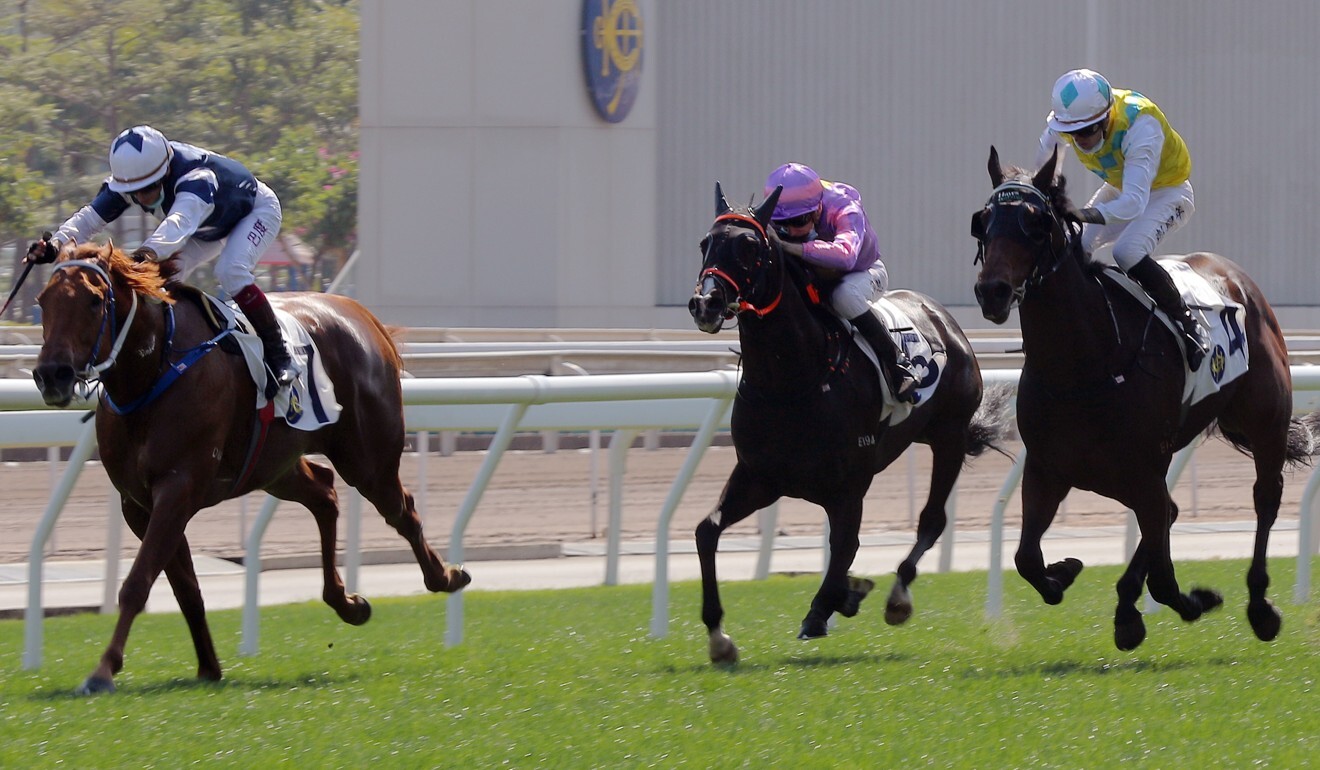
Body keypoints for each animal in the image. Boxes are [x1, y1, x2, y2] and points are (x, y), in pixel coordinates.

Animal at [34, 244, 475, 697]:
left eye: (93, 301)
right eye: (43, 301)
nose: (52, 374)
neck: (154, 369)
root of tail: (362, 314)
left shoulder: (177, 489)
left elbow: (138, 582)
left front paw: (103, 670)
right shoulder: (138, 504)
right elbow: (185, 587)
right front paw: (208, 667)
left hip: (368, 459)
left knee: (401, 510)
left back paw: (445, 577)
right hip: (275, 466)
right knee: (325, 493)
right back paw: (347, 603)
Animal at [686, 183, 1003, 665]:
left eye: (750, 247)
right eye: (706, 243)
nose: (705, 303)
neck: (792, 380)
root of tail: (942, 317)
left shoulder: (849, 486)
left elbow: (845, 547)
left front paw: (826, 608)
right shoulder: (760, 476)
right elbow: (707, 531)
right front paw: (719, 637)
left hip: (949, 436)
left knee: (931, 520)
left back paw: (897, 597)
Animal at [966, 145, 1314, 649]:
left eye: (1036, 221)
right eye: (984, 220)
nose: (992, 291)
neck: (1084, 362)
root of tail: (1236, 278)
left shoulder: (1144, 468)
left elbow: (1165, 579)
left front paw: (1197, 600)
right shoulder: (1048, 467)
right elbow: (1027, 559)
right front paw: (1067, 571)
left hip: (1265, 421)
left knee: (1265, 498)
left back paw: (1259, 606)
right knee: (1169, 513)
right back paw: (1128, 605)